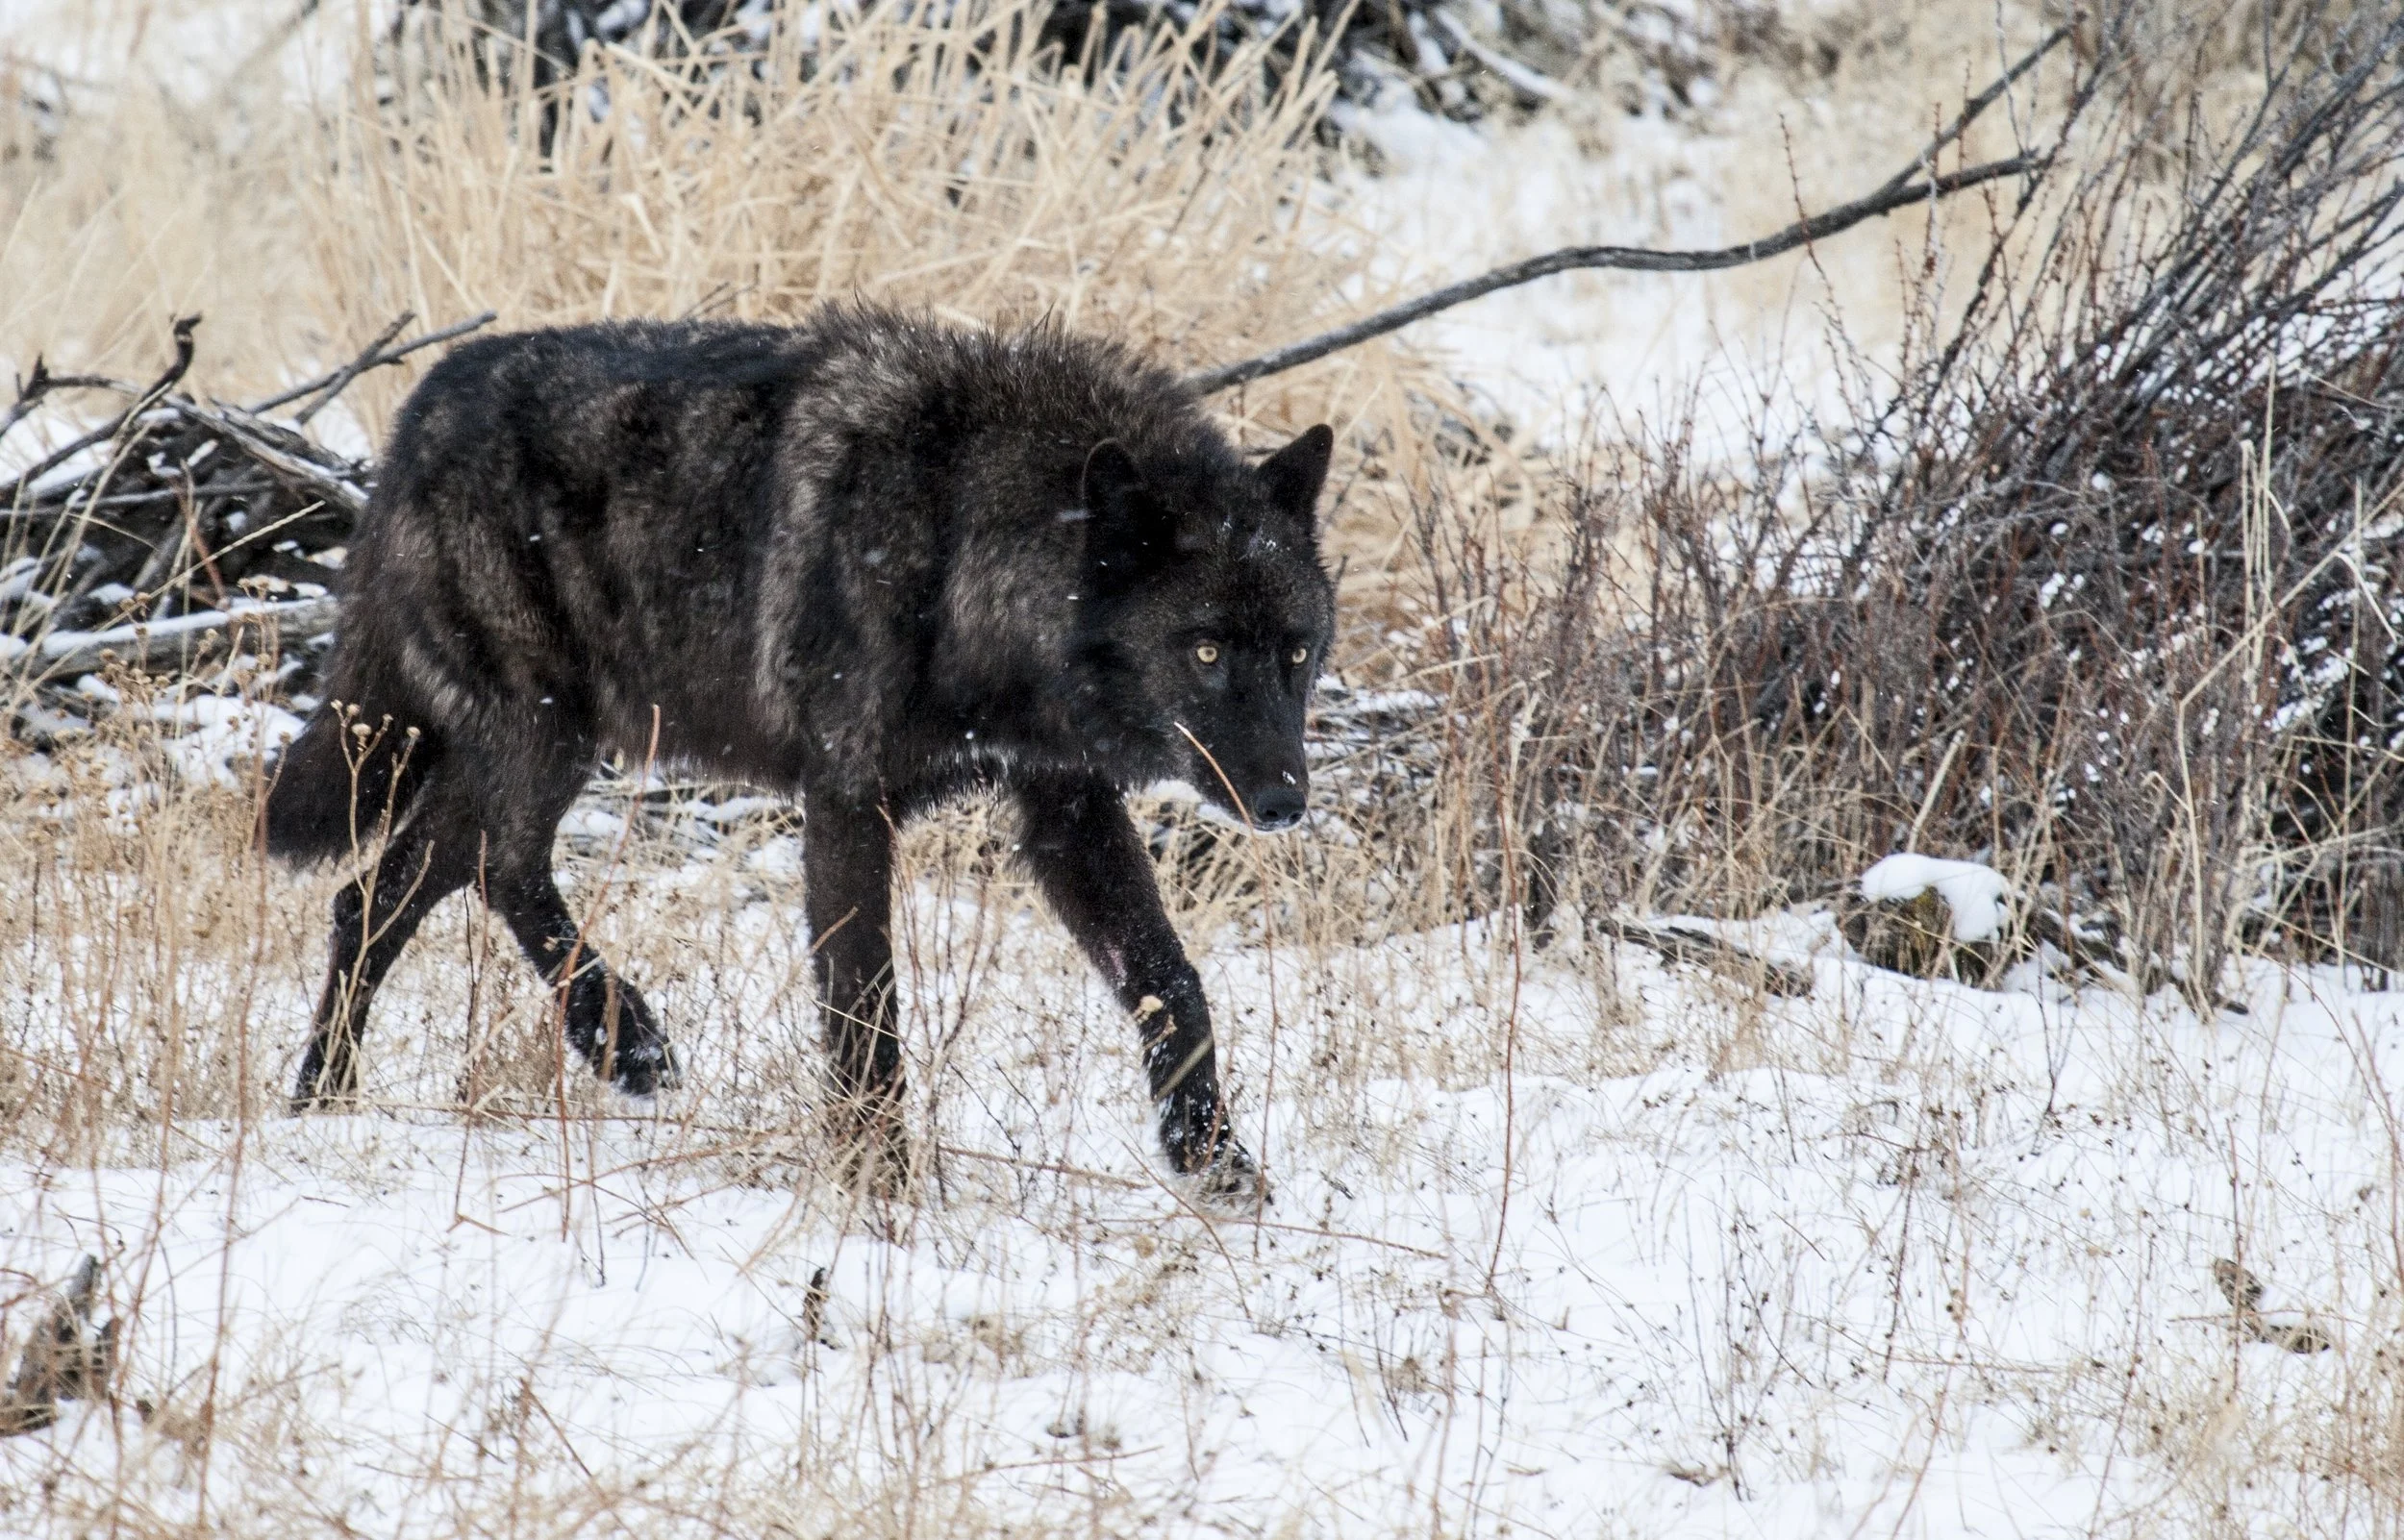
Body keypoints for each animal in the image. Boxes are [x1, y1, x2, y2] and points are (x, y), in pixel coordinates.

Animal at [262, 305, 1335, 1203]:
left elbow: (1174, 980)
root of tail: (422, 404)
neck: (961, 543)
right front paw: (879, 1185)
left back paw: (363, 1092)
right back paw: (578, 1051)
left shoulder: (1067, 809)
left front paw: (1214, 1157)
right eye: (1204, 651)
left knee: (393, 891)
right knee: (472, 872)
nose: (1286, 802)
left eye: (1297, 651)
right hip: (547, 740)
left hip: (539, 751)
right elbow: (866, 1009)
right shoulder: (847, 799)